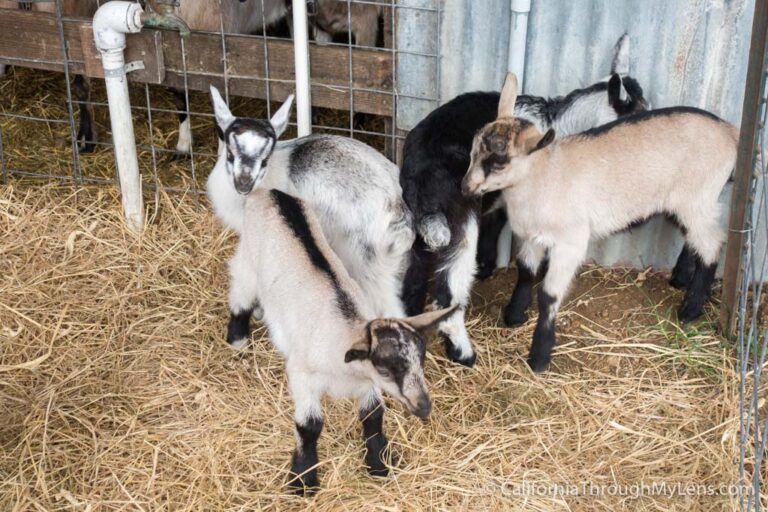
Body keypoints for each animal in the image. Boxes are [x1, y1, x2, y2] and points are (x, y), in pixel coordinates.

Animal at [207, 86, 414, 342]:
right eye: (230, 153)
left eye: (264, 159)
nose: (244, 182)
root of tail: (398, 210)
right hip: (387, 266)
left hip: (364, 263)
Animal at [400, 34, 644, 366]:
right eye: (636, 115)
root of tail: (418, 169)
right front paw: (517, 311)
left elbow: (496, 225)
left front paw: (488, 266)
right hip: (458, 215)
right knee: (448, 292)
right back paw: (463, 352)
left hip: (419, 221)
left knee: (413, 275)